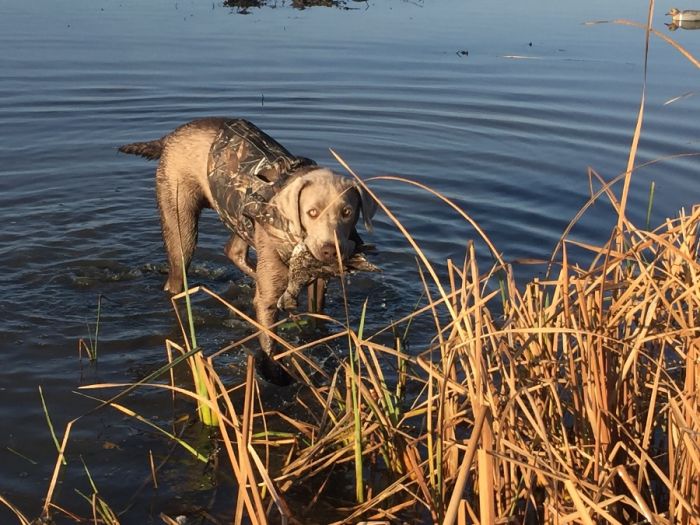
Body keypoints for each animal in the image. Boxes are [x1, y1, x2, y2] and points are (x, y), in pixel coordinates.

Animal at [119, 117, 378, 380]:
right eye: (312, 212)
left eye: (347, 212)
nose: (330, 251)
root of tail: (169, 137)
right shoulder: (268, 298)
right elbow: (270, 341)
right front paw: (275, 373)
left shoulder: (318, 281)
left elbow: (315, 314)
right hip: (181, 225)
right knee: (177, 276)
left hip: (238, 217)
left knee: (232, 251)